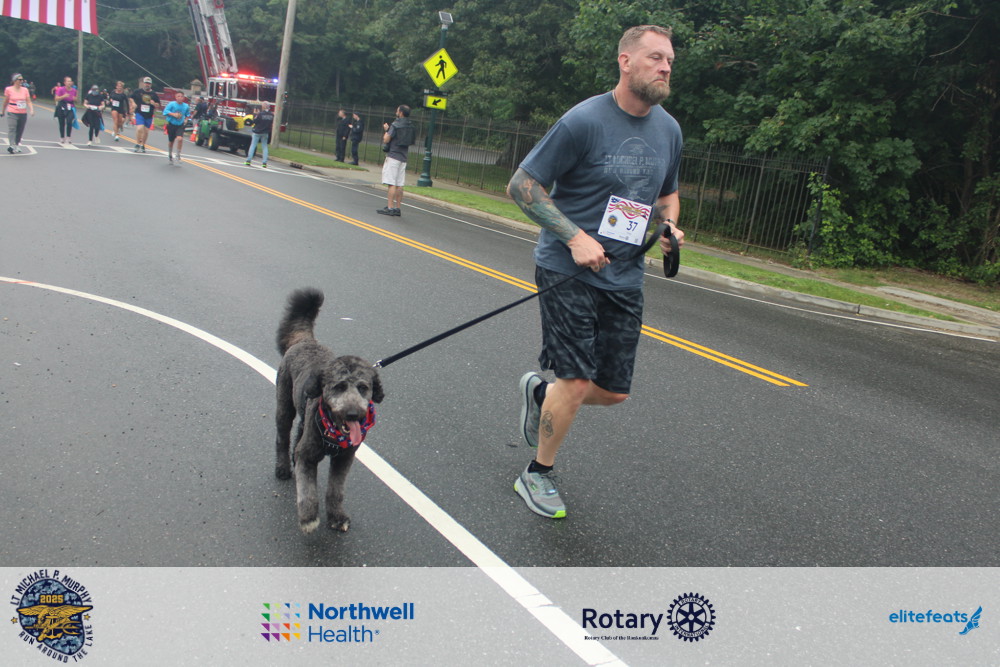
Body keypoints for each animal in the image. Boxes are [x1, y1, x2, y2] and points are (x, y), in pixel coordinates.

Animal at [274, 288, 384, 534]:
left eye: (363, 388)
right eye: (339, 386)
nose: (353, 414)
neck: (334, 432)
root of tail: (305, 340)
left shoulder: (344, 458)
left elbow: (336, 490)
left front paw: (337, 516)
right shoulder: (307, 457)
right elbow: (308, 492)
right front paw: (308, 517)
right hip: (284, 408)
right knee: (282, 439)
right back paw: (282, 468)